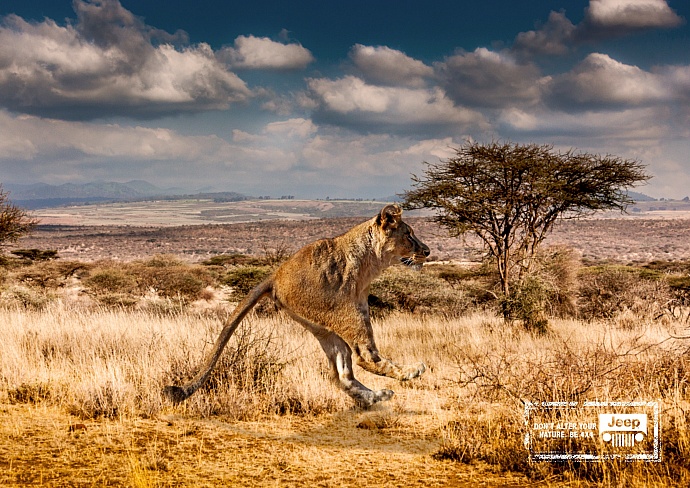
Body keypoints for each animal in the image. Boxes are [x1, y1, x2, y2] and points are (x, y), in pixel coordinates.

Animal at [163, 204, 430, 407]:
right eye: (408, 235)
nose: (427, 251)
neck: (370, 263)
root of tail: (275, 275)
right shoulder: (355, 309)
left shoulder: (362, 305)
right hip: (344, 313)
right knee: (364, 357)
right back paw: (410, 372)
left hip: (322, 326)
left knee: (341, 374)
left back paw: (376, 397)